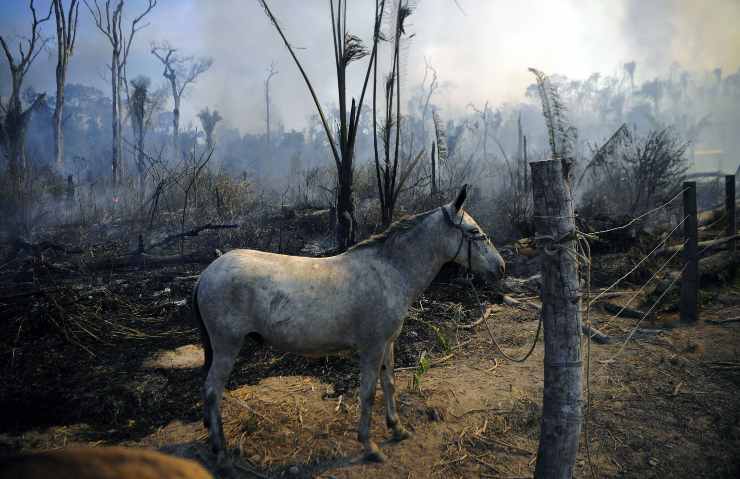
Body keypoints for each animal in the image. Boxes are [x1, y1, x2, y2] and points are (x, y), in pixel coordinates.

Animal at [193, 185, 505, 463]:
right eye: (474, 232)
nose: (501, 267)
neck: (390, 272)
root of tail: (206, 273)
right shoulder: (372, 347)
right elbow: (367, 393)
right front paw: (369, 446)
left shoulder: (388, 344)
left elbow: (389, 383)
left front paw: (397, 428)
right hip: (227, 346)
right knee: (212, 391)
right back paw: (221, 450)